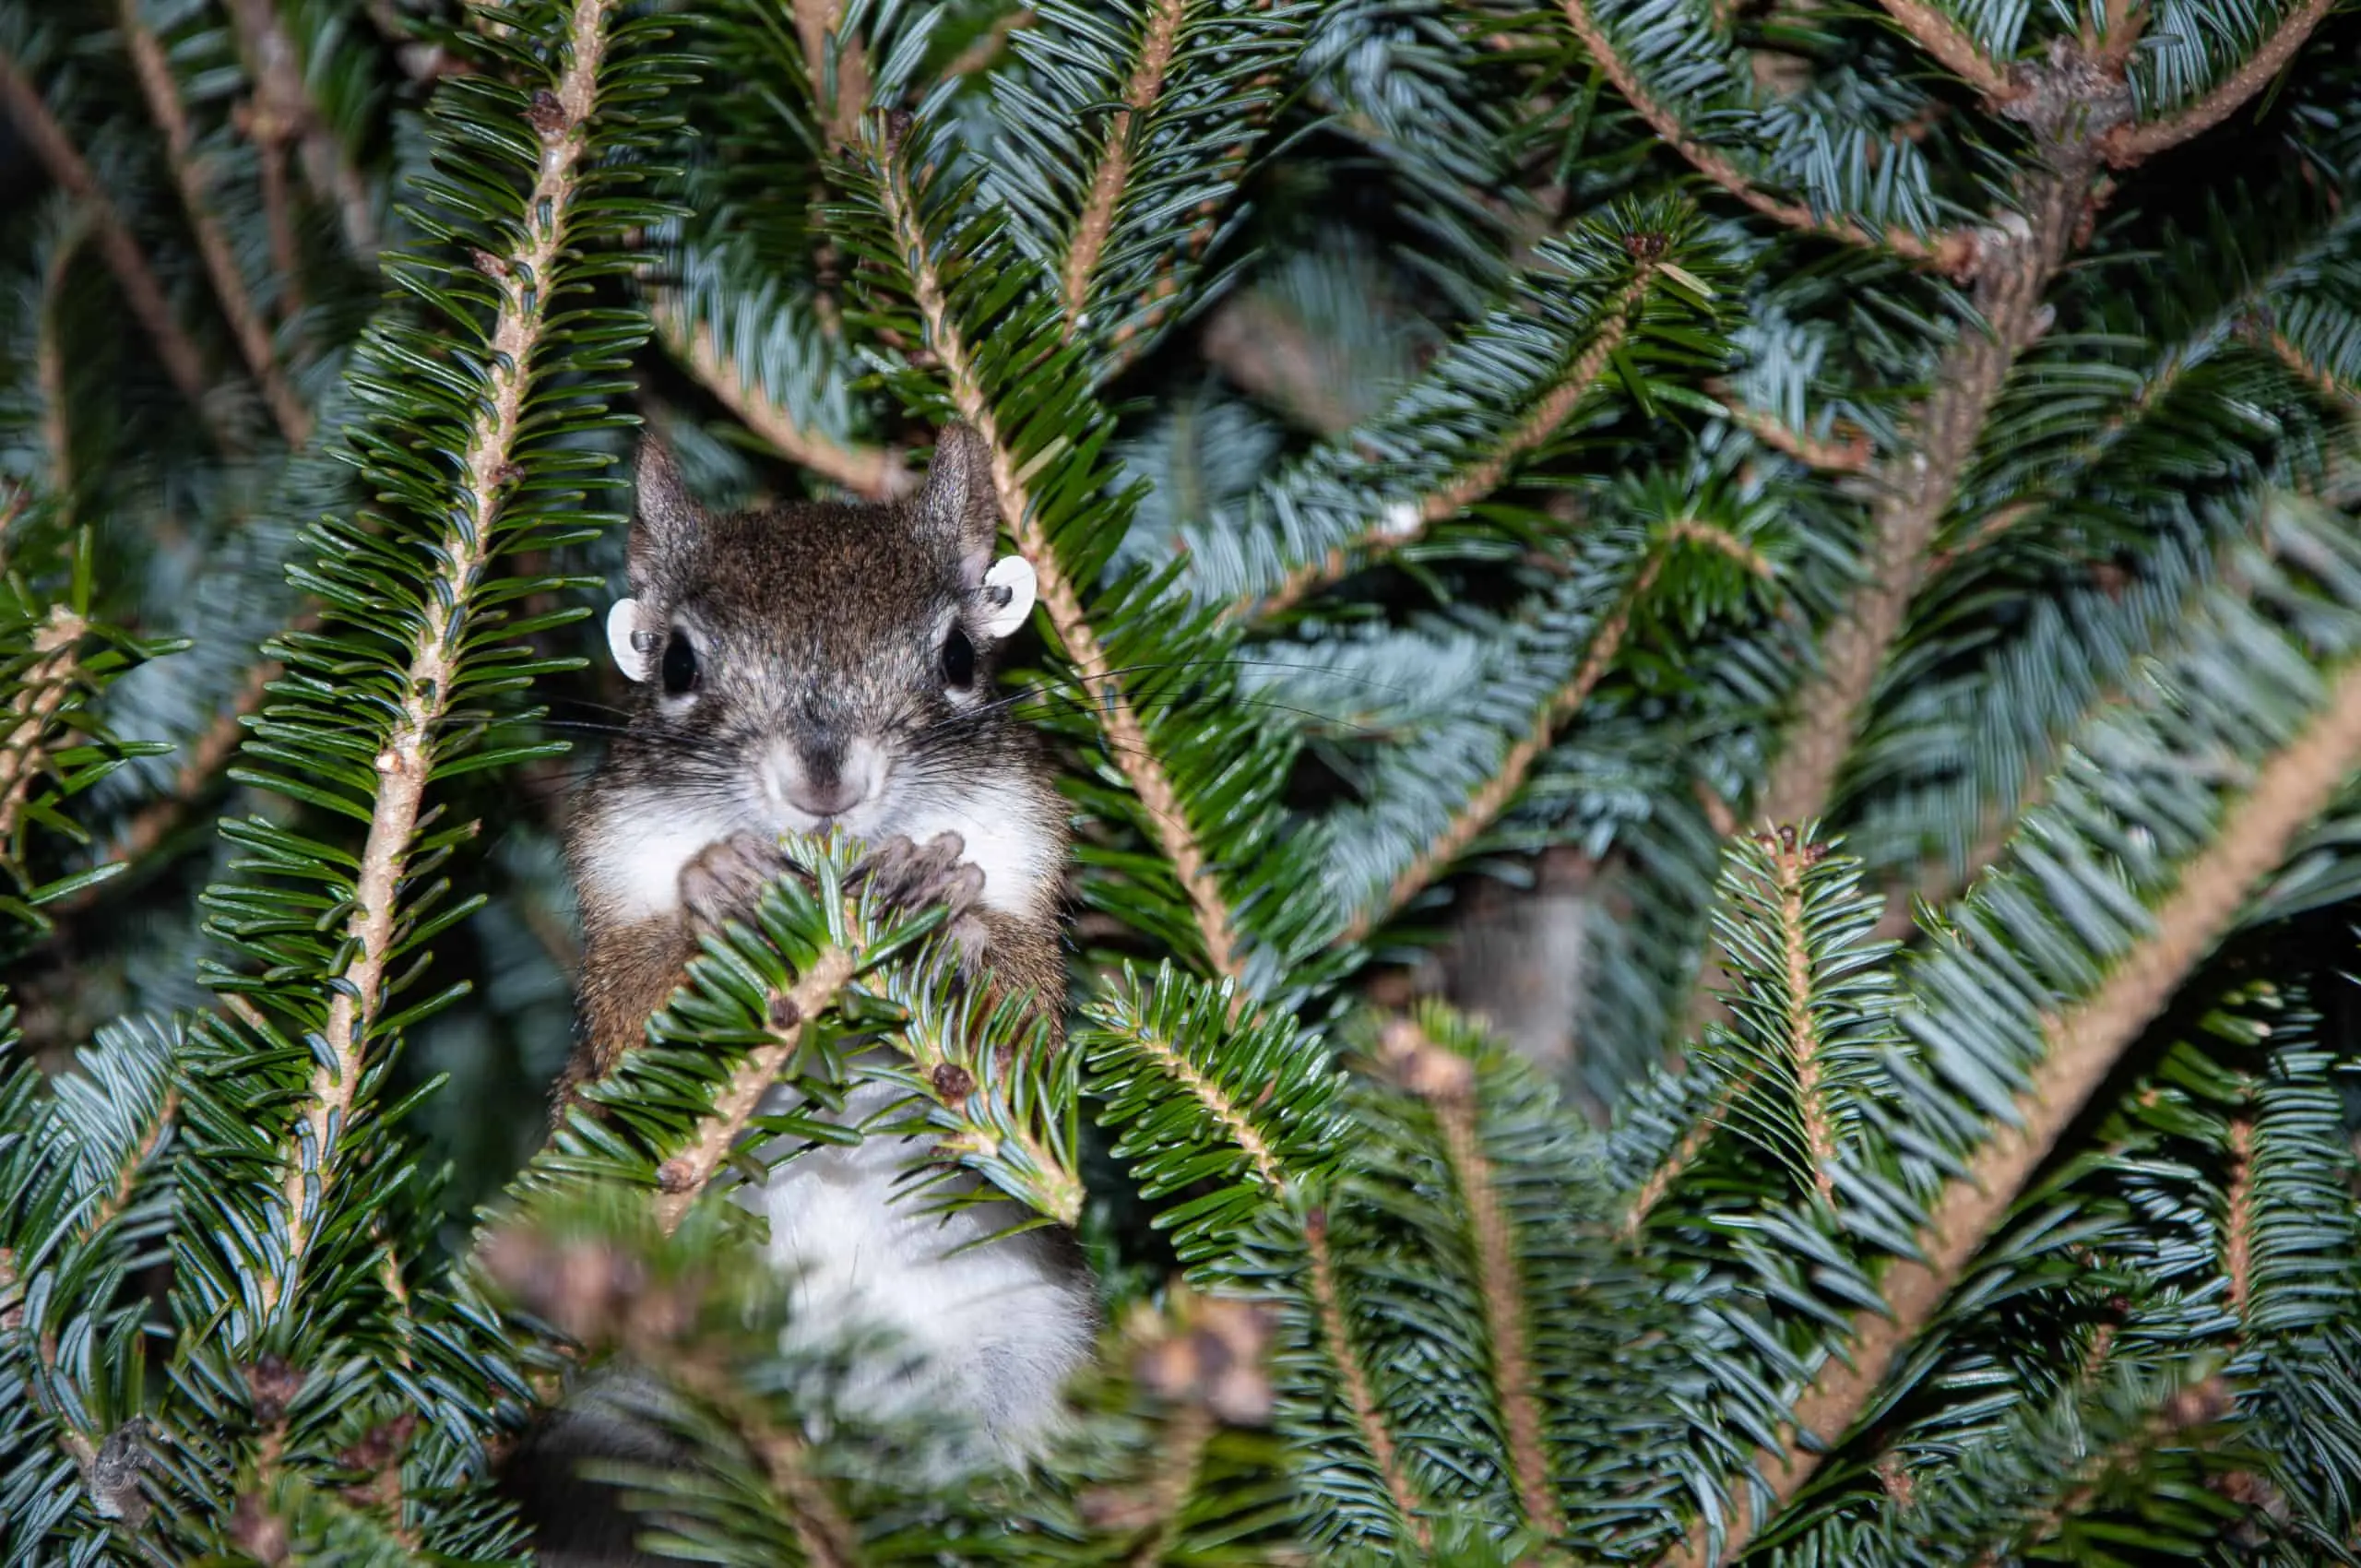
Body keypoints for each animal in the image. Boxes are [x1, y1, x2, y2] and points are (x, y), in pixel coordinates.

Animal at [513, 425, 1096, 1563]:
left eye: (959, 659)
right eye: (676, 662)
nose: (824, 782)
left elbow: (1023, 1053)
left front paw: (942, 903)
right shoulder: (612, 914)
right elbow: (631, 1040)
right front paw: (716, 894)